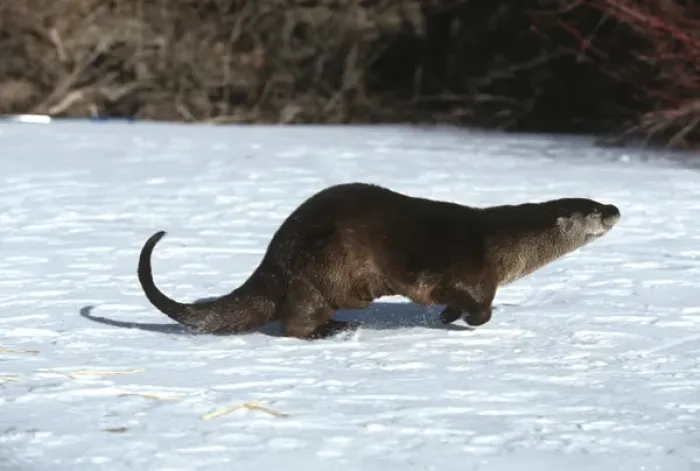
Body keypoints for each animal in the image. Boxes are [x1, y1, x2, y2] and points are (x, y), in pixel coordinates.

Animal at [136, 182, 621, 340]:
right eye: (595, 211)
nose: (616, 209)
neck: (504, 246)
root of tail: (275, 255)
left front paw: (448, 316)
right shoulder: (477, 273)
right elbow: (480, 307)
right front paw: (464, 320)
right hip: (320, 270)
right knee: (294, 323)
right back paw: (330, 330)